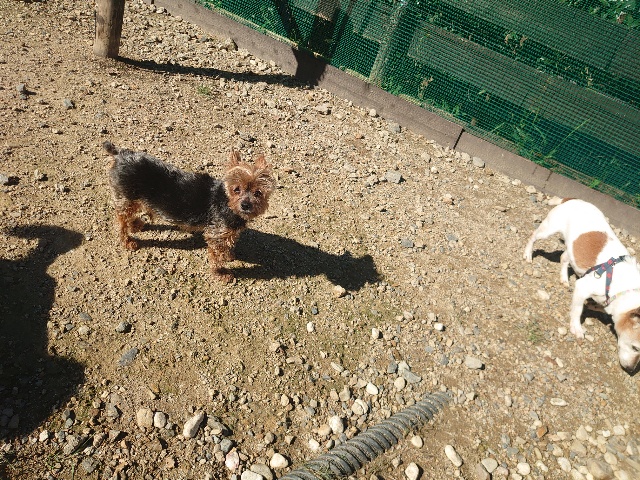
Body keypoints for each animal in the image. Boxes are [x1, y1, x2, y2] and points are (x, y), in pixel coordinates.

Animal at [103, 141, 275, 282]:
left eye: (258, 193)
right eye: (236, 189)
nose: (245, 205)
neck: (227, 203)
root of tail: (119, 154)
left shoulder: (227, 233)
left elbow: (227, 246)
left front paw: (229, 255)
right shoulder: (215, 235)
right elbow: (216, 257)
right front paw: (220, 273)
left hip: (131, 200)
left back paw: (136, 224)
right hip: (126, 198)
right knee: (121, 222)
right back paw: (127, 241)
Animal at [524, 198, 640, 372]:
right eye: (636, 348)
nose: (631, 370)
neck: (628, 290)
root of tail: (572, 199)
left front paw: (593, 306)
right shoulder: (583, 287)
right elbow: (577, 310)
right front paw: (576, 328)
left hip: (572, 249)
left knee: (564, 257)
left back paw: (564, 279)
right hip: (548, 229)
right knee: (533, 236)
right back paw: (528, 254)